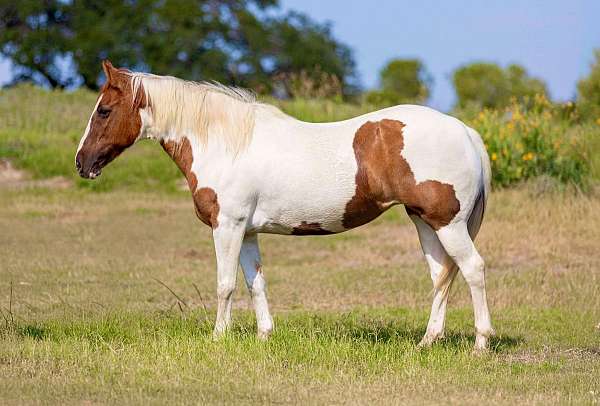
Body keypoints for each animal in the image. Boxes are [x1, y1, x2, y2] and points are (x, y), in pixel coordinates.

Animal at [77, 61, 494, 350]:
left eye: (104, 110)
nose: (82, 163)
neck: (227, 143)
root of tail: (465, 131)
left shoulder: (227, 226)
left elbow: (225, 284)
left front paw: (218, 338)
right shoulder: (246, 232)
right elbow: (255, 282)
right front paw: (264, 336)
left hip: (448, 224)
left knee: (472, 270)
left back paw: (481, 343)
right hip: (425, 222)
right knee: (441, 275)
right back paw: (427, 341)